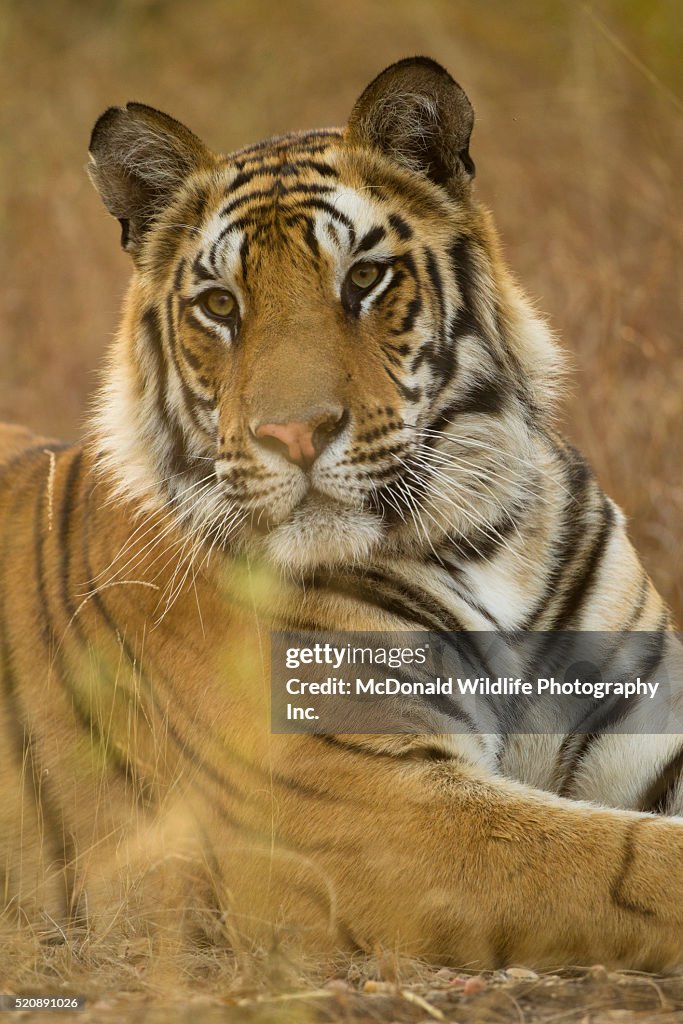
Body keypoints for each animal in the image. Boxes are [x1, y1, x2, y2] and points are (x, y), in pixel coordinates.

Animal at [1, 59, 683, 970]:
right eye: (220, 305)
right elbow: (627, 863)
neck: (480, 534)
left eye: (363, 279)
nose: (294, 434)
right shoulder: (382, 811)